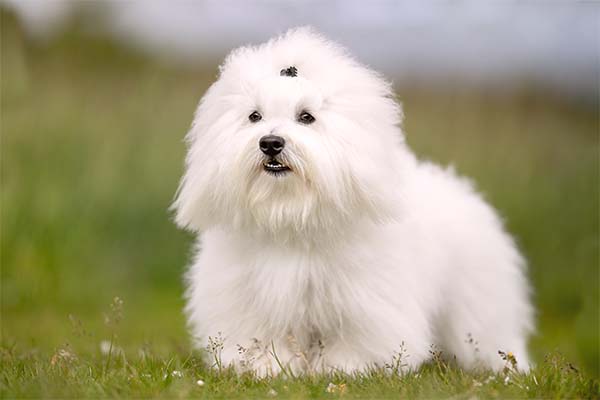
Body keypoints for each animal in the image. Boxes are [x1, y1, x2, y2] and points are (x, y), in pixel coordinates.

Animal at [171, 27, 532, 376]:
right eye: (254, 116)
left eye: (306, 117)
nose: (270, 143)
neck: (291, 213)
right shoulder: (249, 297)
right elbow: (263, 336)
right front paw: (266, 368)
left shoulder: (364, 301)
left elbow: (355, 339)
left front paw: (344, 368)